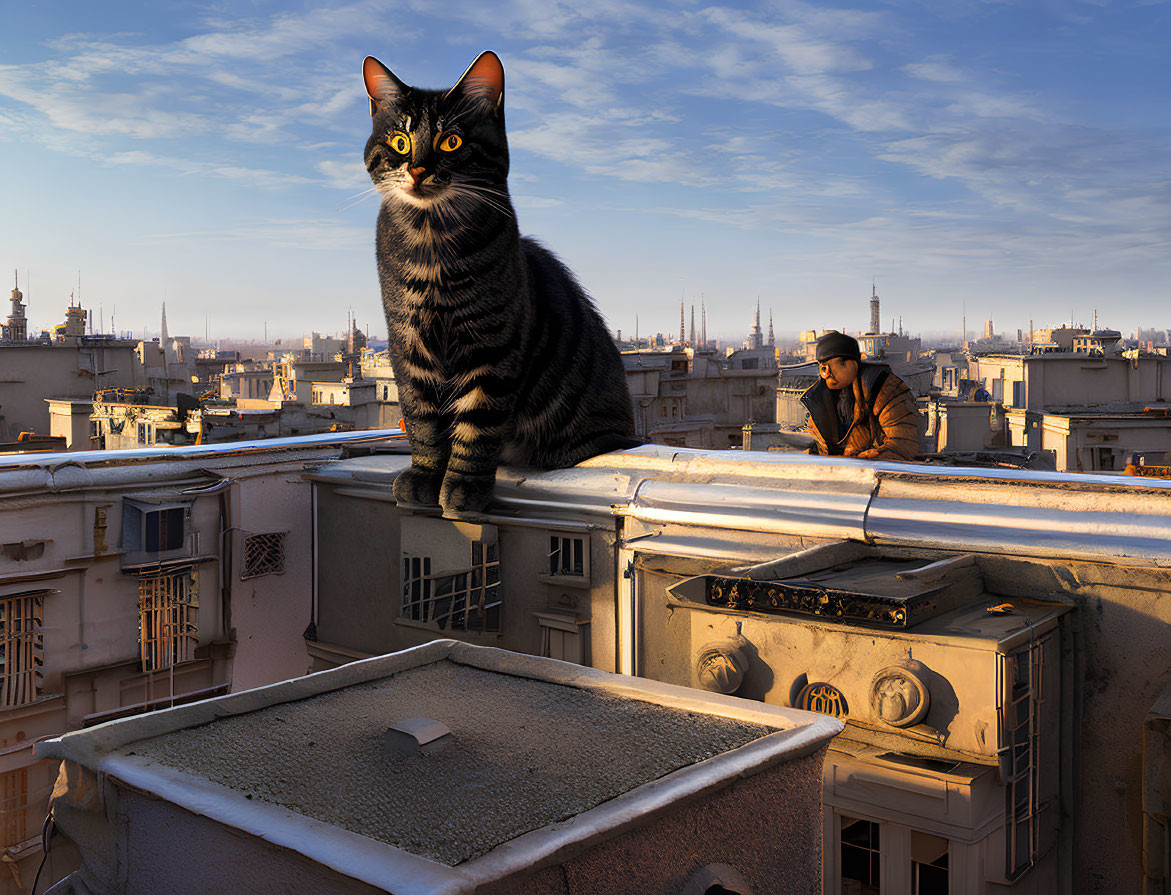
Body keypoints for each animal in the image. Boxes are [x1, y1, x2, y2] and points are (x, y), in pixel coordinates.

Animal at [365, 50, 641, 517]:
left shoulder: (492, 346)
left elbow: (478, 423)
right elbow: (422, 418)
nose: (417, 169)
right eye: (400, 142)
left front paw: (463, 486)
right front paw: (424, 475)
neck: (432, 239)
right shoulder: (408, 344)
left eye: (451, 142)